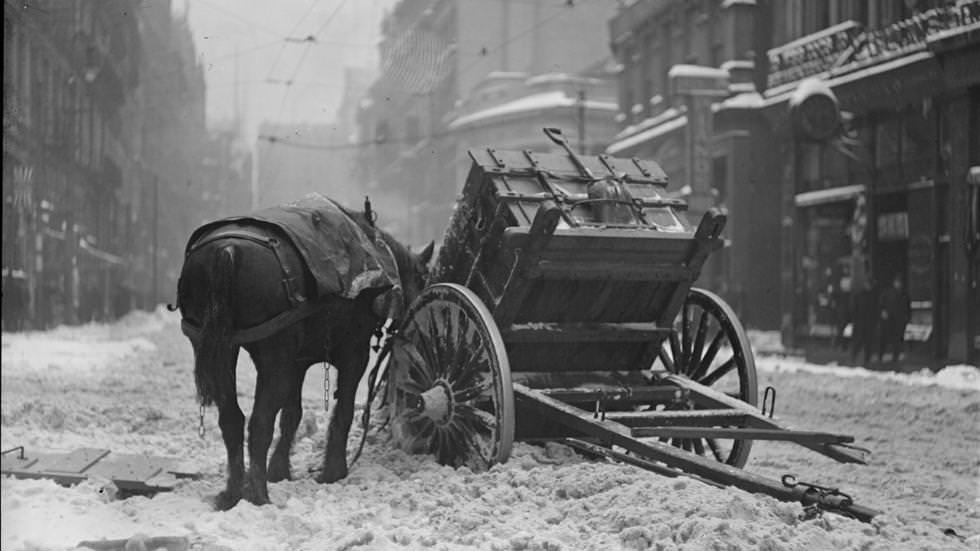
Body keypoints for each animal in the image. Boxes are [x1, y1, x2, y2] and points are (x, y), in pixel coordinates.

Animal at [178, 201, 430, 512]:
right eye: (424, 278)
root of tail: (227, 250)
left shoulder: (295, 364)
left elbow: (292, 415)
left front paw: (279, 469)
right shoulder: (353, 355)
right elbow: (343, 412)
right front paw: (333, 471)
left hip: (218, 349)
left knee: (232, 420)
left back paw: (232, 493)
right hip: (273, 359)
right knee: (259, 423)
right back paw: (258, 494)